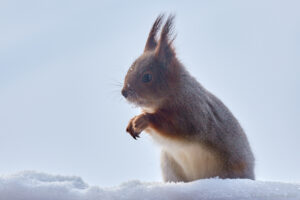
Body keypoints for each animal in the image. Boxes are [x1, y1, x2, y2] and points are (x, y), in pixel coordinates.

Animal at [120, 14, 254, 182]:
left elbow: (179, 127)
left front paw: (144, 119)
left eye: (147, 77)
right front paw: (132, 122)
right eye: (129, 69)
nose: (124, 92)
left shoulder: (194, 112)